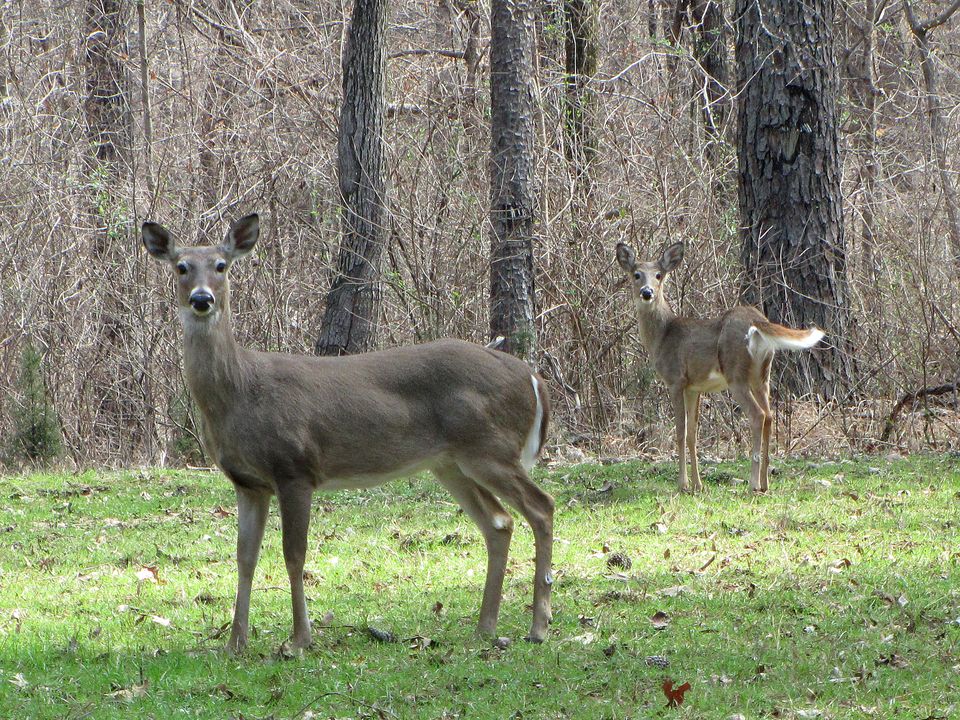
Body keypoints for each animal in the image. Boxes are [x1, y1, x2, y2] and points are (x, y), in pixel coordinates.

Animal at [142, 214, 554, 653]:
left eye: (221, 266)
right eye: (181, 267)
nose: (202, 299)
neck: (240, 392)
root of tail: (531, 376)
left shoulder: (294, 468)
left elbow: (294, 555)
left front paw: (299, 640)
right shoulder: (248, 483)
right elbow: (244, 558)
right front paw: (236, 642)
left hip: (490, 448)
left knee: (541, 506)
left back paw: (538, 627)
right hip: (450, 463)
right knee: (499, 522)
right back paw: (485, 627)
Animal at [615, 241, 824, 494]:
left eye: (659, 275)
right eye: (636, 274)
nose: (647, 292)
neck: (663, 335)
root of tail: (758, 322)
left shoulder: (675, 379)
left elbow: (680, 431)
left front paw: (683, 484)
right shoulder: (694, 387)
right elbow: (692, 434)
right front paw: (698, 484)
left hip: (736, 374)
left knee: (758, 415)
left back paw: (753, 482)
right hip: (761, 375)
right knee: (769, 415)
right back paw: (765, 482)